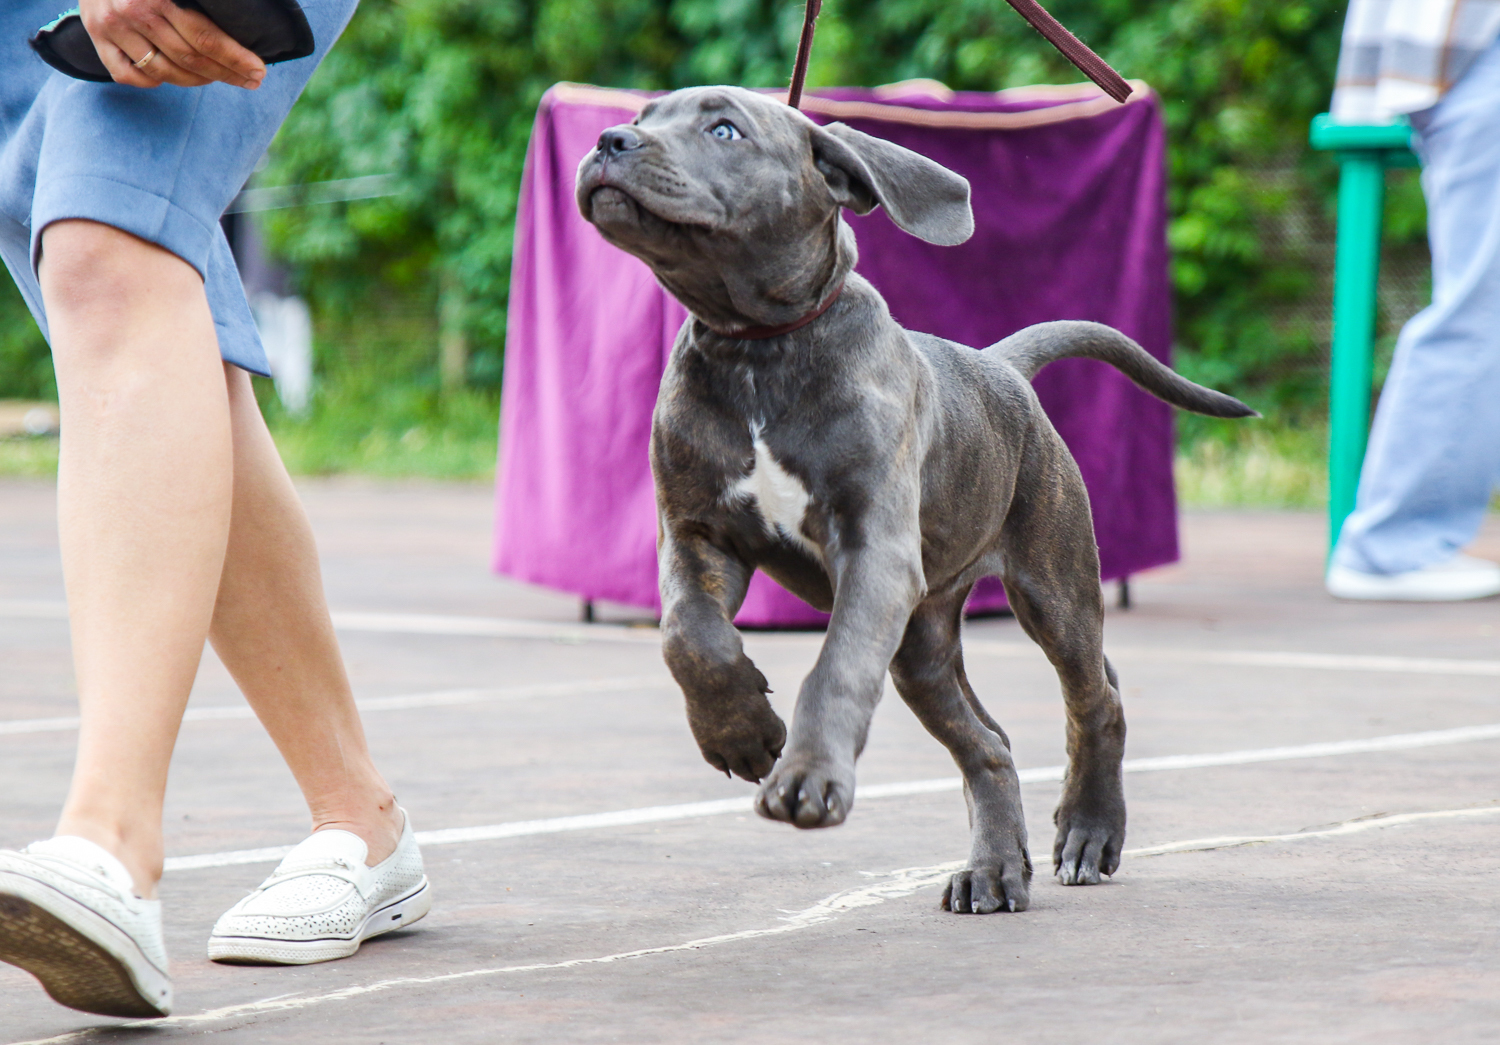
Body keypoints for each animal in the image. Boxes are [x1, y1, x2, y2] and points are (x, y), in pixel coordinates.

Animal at [573, 85, 1254, 911]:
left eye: (725, 129)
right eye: (643, 116)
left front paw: (807, 774)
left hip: (1053, 589)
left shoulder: (874, 554)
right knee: (988, 743)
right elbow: (687, 634)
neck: (758, 349)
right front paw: (740, 729)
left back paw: (1089, 831)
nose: (609, 140)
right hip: (921, 646)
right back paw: (992, 870)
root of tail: (1002, 365)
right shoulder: (698, 534)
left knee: (1098, 697)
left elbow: (834, 666)